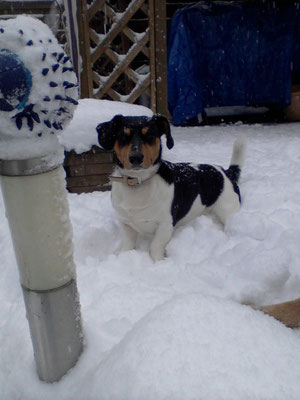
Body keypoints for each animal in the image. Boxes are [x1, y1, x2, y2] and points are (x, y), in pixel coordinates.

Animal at [96, 113, 246, 262]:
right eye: (123, 135)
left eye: (150, 135)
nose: (136, 158)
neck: (138, 183)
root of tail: (225, 172)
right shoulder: (126, 224)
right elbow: (128, 245)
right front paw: (123, 257)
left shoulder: (165, 225)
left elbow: (155, 246)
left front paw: (158, 263)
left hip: (228, 209)